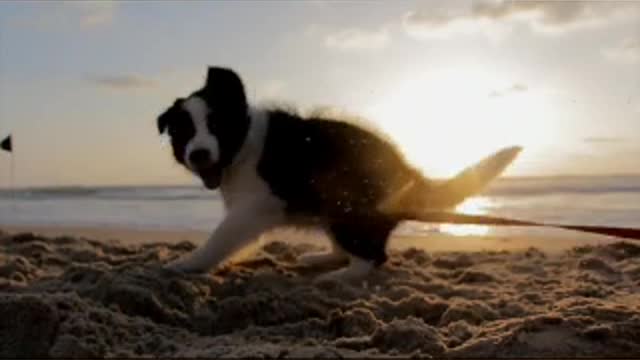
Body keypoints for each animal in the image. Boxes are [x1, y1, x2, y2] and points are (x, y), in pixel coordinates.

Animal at [158, 67, 524, 282]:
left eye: (217, 125)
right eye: (183, 132)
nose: (198, 154)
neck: (245, 145)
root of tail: (407, 172)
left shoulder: (253, 208)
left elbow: (218, 240)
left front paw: (187, 263)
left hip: (349, 209)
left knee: (373, 257)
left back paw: (339, 277)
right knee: (347, 249)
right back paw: (321, 258)